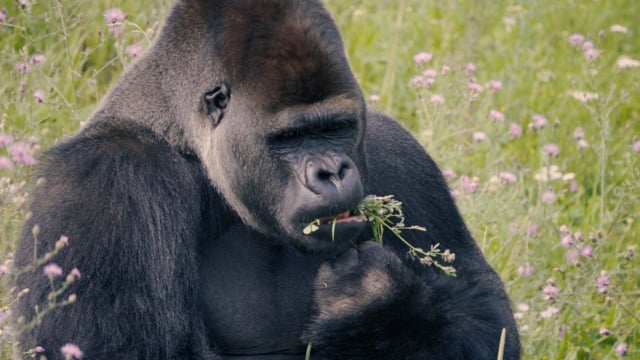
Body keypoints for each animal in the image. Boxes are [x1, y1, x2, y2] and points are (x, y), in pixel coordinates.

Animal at [12, 0, 520, 360]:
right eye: (289, 137)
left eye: (335, 128)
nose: (332, 171)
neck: (183, 138)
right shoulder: (106, 179)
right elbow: (120, 350)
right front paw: (374, 302)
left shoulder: (397, 149)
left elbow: (486, 318)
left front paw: (383, 305)